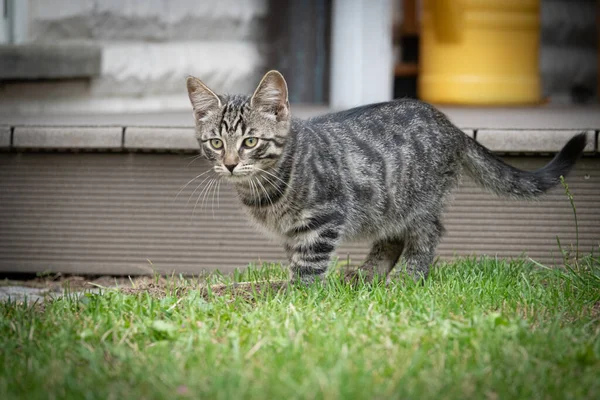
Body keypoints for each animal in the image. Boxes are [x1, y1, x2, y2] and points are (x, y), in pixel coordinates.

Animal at [186, 71, 584, 284]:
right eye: (216, 142)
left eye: (250, 141)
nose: (231, 164)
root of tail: (451, 126)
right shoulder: (293, 232)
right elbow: (295, 259)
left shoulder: (324, 218)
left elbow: (309, 264)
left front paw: (298, 297)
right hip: (388, 204)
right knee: (391, 238)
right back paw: (367, 275)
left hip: (419, 201)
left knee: (428, 234)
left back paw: (406, 278)